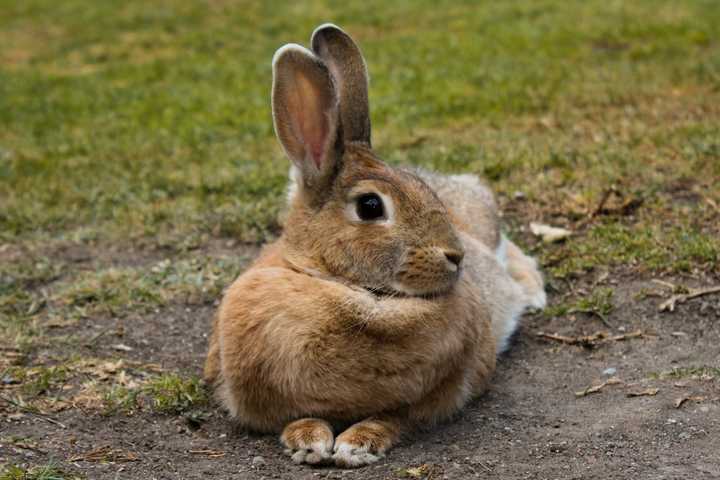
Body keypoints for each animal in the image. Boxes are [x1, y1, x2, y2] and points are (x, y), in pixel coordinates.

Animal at [202, 23, 544, 468]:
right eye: (370, 206)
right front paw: (308, 442)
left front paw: (356, 445)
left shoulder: (431, 399)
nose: (456, 256)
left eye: (422, 189)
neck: (338, 283)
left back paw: (533, 293)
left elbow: (392, 418)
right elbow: (297, 417)